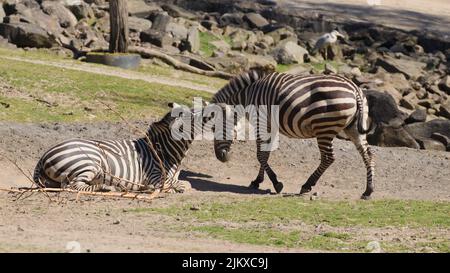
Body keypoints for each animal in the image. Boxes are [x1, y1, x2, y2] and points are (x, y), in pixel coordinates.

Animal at [33, 101, 213, 192]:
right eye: (195, 115)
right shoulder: (155, 176)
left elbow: (185, 183)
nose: (212, 110)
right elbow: (179, 185)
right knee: (72, 186)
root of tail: (43, 156)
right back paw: (108, 187)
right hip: (89, 162)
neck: (166, 152)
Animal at [213, 69, 374, 199]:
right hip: (353, 129)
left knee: (328, 158)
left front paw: (276, 183)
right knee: (368, 155)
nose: (220, 158)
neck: (248, 95)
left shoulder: (260, 121)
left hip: (324, 127)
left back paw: (306, 185)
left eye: (214, 128)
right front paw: (257, 181)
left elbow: (260, 155)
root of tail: (355, 88)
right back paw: (368, 191)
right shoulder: (270, 125)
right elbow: (265, 154)